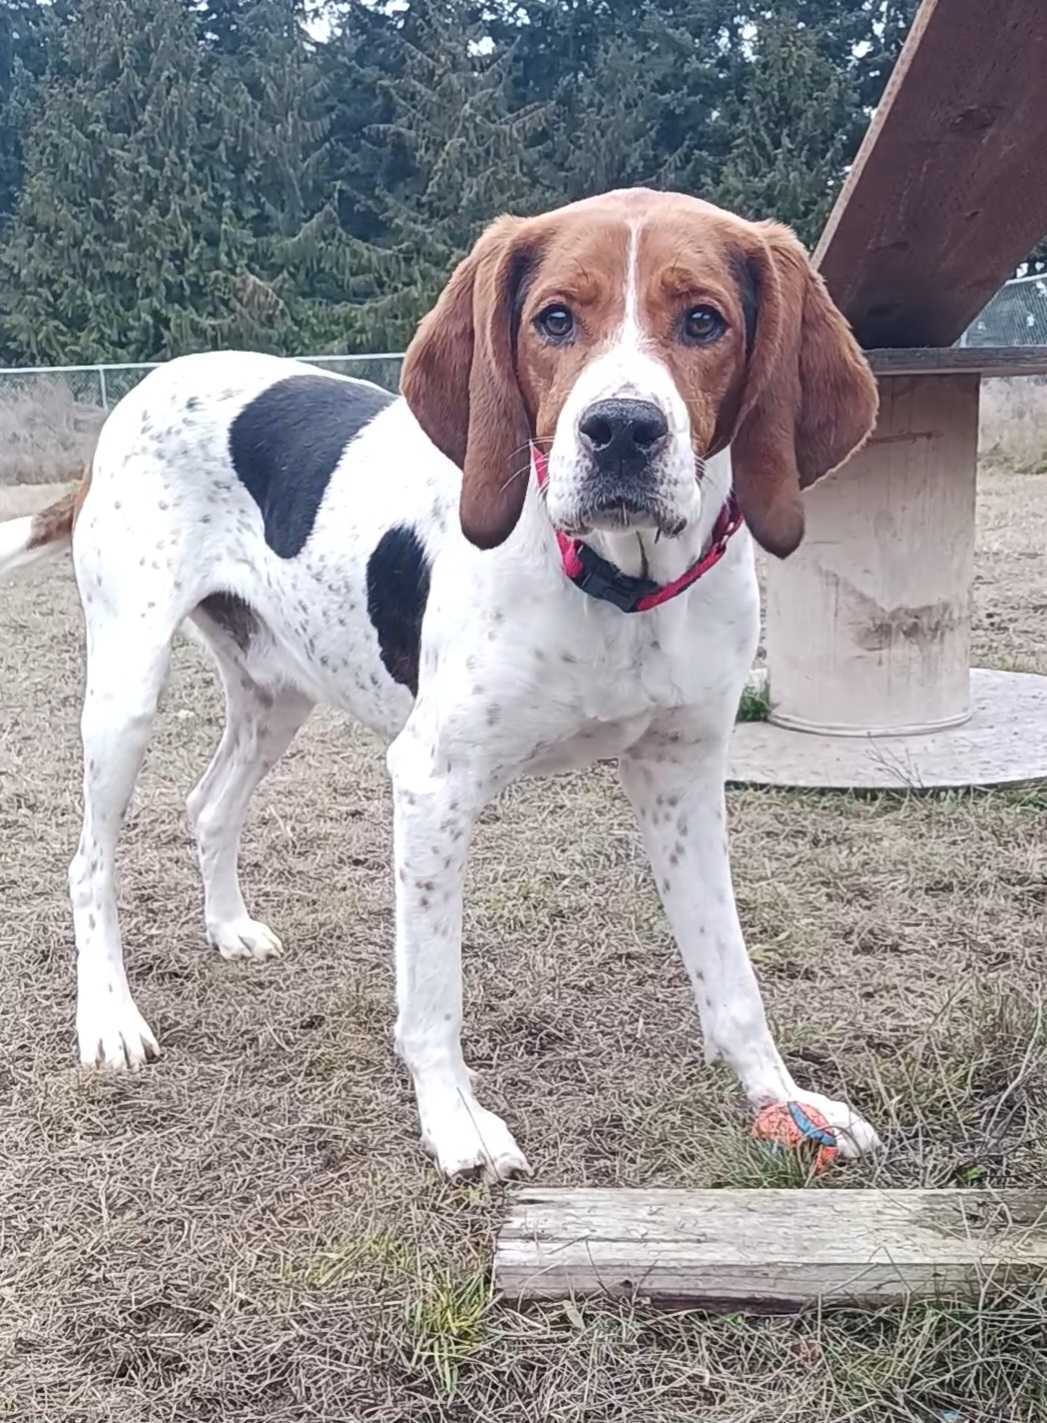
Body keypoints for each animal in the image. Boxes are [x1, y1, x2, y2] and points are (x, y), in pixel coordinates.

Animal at [2, 189, 881, 1178]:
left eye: (703, 321)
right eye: (554, 319)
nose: (620, 429)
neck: (617, 583)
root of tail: (142, 390)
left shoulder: (682, 779)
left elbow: (731, 977)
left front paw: (782, 1097)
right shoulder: (432, 781)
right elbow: (432, 993)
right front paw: (453, 1115)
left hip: (277, 691)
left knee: (209, 804)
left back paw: (228, 926)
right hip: (126, 692)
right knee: (88, 864)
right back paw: (109, 1018)